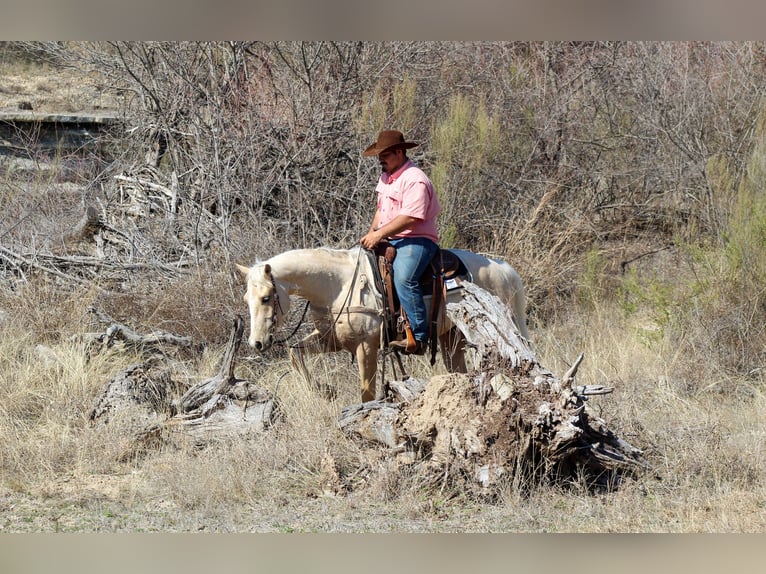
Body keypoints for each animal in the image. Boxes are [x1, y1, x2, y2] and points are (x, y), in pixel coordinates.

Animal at [238, 248, 528, 404]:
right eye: (246, 299)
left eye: (266, 298)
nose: (257, 343)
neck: (339, 285)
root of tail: (506, 271)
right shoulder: (331, 339)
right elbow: (294, 353)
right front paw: (325, 391)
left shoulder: (366, 346)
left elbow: (367, 392)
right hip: (451, 339)